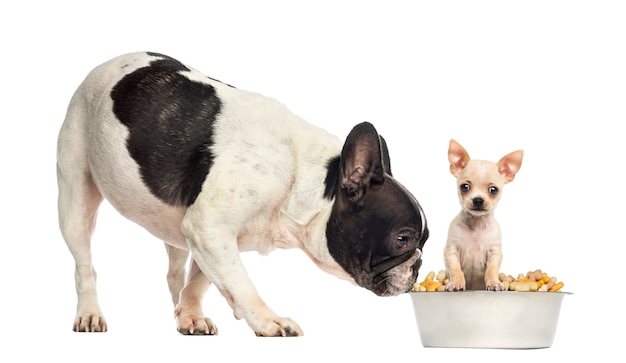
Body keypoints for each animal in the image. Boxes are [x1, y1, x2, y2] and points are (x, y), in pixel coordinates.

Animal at [56, 52, 426, 336]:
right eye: (403, 240)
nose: (418, 266)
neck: (297, 176)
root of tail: (104, 66)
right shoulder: (210, 228)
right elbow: (241, 282)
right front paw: (268, 320)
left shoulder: (205, 235)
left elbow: (202, 279)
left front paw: (192, 313)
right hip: (75, 200)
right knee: (84, 264)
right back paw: (89, 313)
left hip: (171, 225)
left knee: (176, 271)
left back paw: (183, 312)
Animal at [442, 140, 524, 292]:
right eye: (464, 187)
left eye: (493, 190)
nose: (478, 200)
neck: (477, 223)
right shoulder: (451, 251)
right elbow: (456, 270)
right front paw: (456, 282)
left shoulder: (494, 253)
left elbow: (491, 270)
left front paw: (494, 282)